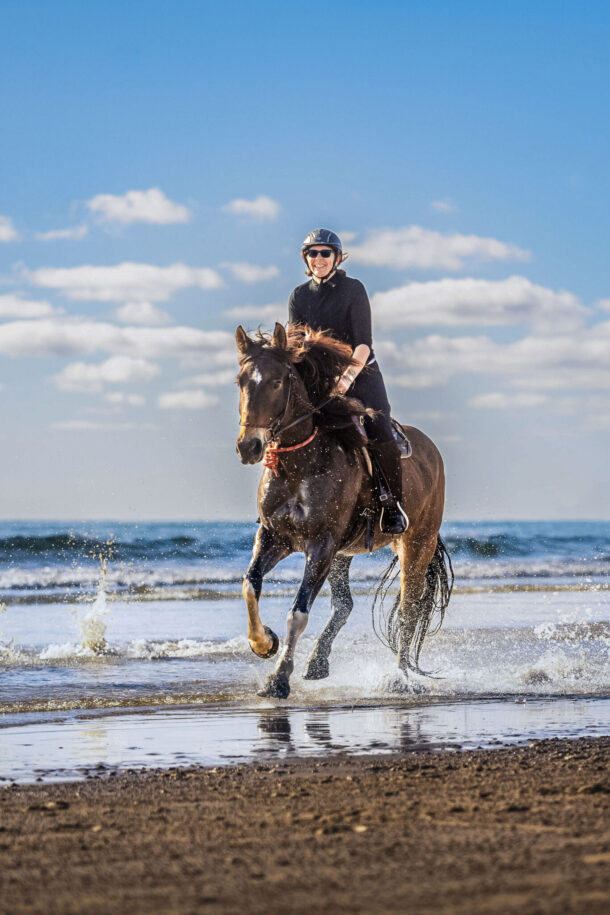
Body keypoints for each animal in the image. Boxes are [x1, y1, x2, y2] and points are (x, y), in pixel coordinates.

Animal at [235, 322, 453, 699]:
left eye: (277, 381)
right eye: (241, 381)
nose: (249, 446)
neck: (299, 466)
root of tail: (431, 451)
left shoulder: (320, 544)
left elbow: (298, 612)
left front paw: (279, 678)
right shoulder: (274, 537)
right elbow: (250, 585)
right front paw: (264, 643)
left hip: (416, 544)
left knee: (409, 609)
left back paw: (400, 678)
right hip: (343, 554)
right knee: (346, 604)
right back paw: (318, 662)